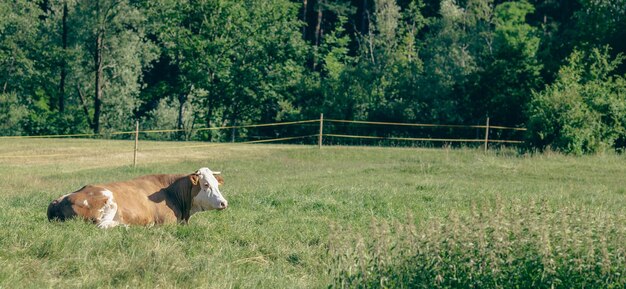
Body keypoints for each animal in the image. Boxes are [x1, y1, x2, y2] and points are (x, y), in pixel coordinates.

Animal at [47, 166, 227, 227]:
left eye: (217, 184)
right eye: (206, 184)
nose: (224, 203)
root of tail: (57, 200)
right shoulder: (167, 223)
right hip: (108, 202)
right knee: (102, 226)